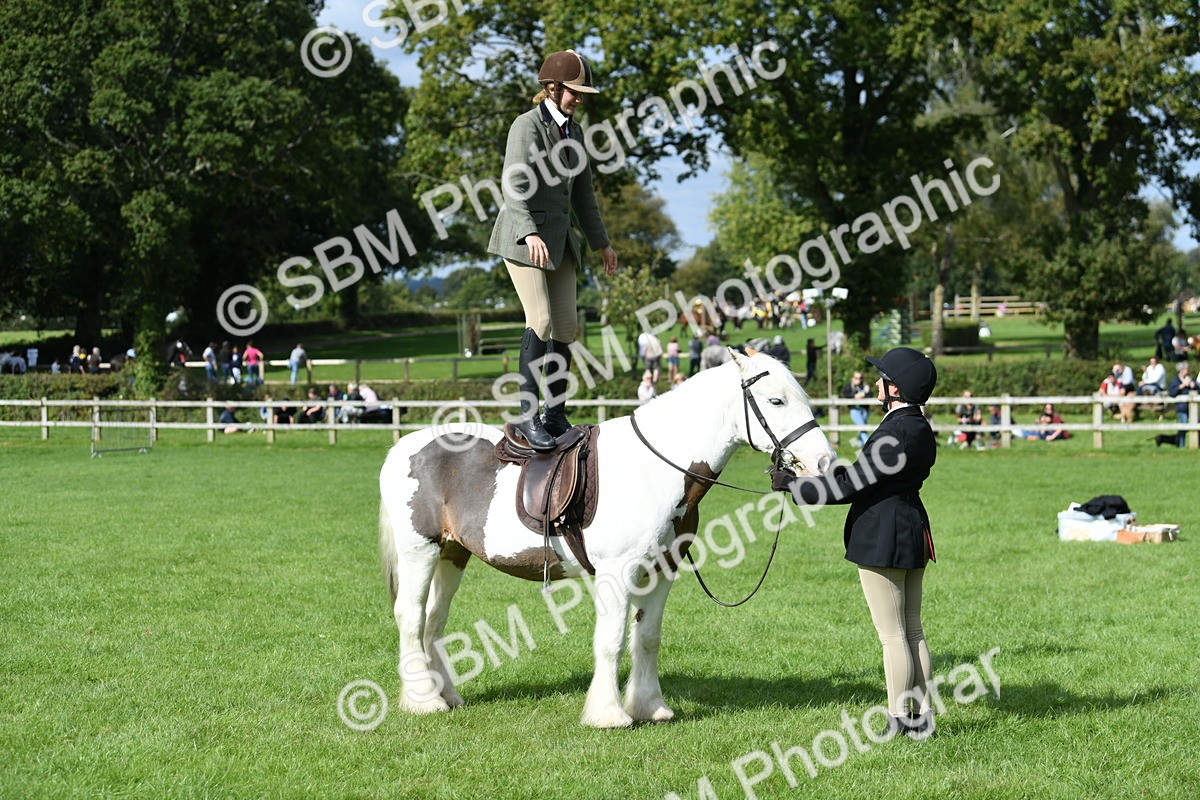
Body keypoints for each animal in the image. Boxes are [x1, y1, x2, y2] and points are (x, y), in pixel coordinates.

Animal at [378, 349, 835, 728]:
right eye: (776, 401)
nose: (824, 461)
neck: (656, 467)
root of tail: (404, 446)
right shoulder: (617, 572)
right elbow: (611, 641)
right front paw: (609, 714)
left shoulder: (662, 571)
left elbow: (647, 639)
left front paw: (650, 707)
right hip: (420, 551)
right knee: (411, 617)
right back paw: (424, 701)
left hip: (453, 553)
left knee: (434, 620)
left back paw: (447, 695)